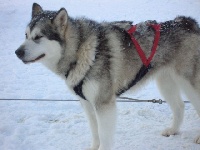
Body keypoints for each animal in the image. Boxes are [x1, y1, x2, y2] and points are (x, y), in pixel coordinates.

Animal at [15, 2, 200, 149]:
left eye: (38, 37)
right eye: (25, 35)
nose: (17, 52)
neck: (80, 52)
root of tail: (186, 22)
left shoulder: (104, 104)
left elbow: (104, 136)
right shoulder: (87, 104)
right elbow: (95, 133)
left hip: (189, 84)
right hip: (165, 83)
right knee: (179, 106)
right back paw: (173, 130)